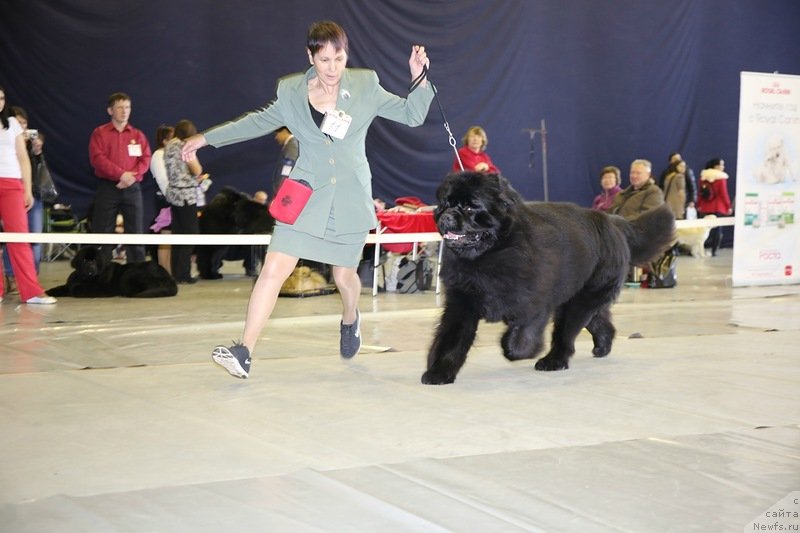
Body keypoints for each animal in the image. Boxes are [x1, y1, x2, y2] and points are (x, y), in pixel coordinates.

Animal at [48, 244, 178, 298]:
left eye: (94, 260)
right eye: (85, 260)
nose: (90, 267)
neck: (85, 278)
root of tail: (169, 277)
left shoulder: (103, 288)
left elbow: (77, 288)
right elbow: (62, 287)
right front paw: (49, 292)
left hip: (129, 275)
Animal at [422, 172, 680, 384]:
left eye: (470, 208)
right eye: (445, 204)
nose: (446, 216)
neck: (492, 253)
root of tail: (614, 223)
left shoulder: (535, 303)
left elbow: (522, 335)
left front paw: (516, 349)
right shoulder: (462, 302)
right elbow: (452, 339)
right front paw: (439, 372)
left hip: (581, 298)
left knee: (567, 332)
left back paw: (553, 361)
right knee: (596, 320)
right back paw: (603, 346)